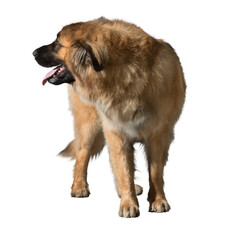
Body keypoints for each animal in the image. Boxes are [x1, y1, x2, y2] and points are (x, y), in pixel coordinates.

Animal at [32, 17, 186, 218]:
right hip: (89, 125)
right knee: (82, 154)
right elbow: (123, 169)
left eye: (57, 44)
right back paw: (79, 187)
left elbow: (155, 172)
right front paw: (128, 204)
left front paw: (157, 200)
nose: (33, 52)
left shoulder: (158, 135)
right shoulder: (116, 132)